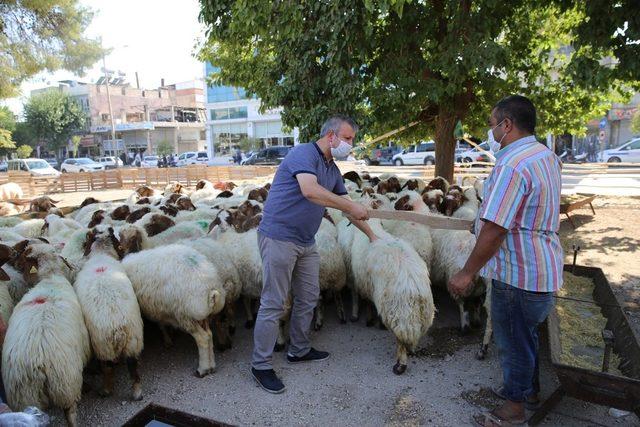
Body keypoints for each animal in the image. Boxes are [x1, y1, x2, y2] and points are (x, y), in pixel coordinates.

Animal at [1, 242, 90, 426]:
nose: (14, 257)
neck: (51, 278)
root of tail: (39, 363)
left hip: (26, 397)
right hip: (66, 387)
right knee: (70, 414)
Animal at [74, 229, 144, 400]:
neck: (101, 254)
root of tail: (118, 328)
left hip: (103, 346)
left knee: (108, 368)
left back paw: (106, 390)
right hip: (133, 340)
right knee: (133, 366)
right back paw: (137, 393)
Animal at [121, 244, 226, 378]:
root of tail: (211, 289)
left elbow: (159, 325)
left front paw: (167, 340)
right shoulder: (159, 308)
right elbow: (161, 323)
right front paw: (168, 339)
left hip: (186, 315)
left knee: (202, 338)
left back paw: (202, 369)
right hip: (202, 316)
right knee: (209, 335)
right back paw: (211, 366)